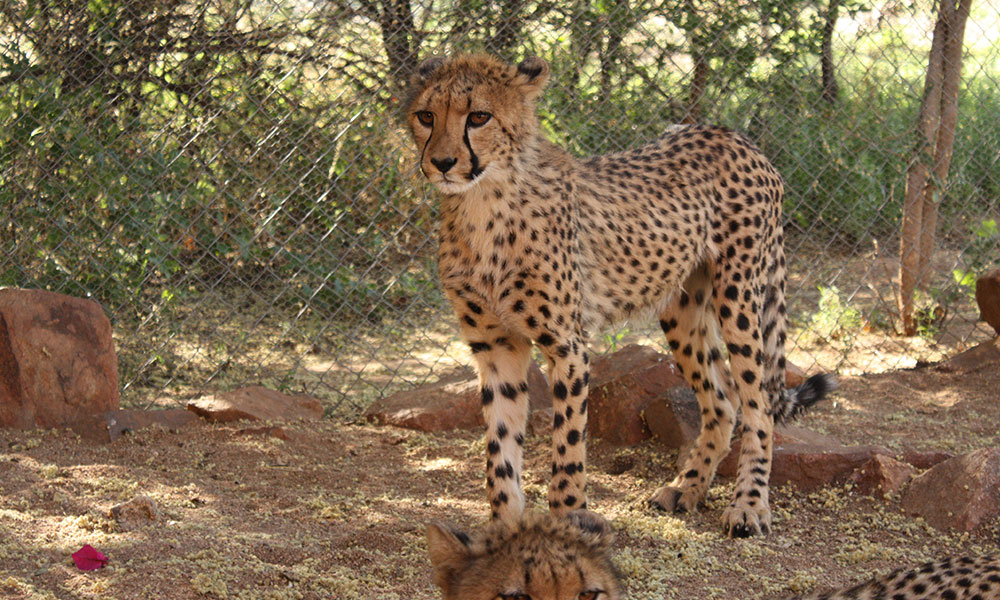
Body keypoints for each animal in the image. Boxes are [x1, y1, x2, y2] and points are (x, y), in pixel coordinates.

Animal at [404, 53, 836, 538]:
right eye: (426, 116)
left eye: (479, 117)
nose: (442, 162)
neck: (483, 204)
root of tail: (735, 136)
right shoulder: (496, 346)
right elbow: (500, 448)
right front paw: (504, 530)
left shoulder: (567, 345)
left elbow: (569, 443)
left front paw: (571, 519)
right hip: (681, 308)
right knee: (722, 404)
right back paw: (686, 488)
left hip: (739, 298)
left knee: (758, 406)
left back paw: (749, 506)